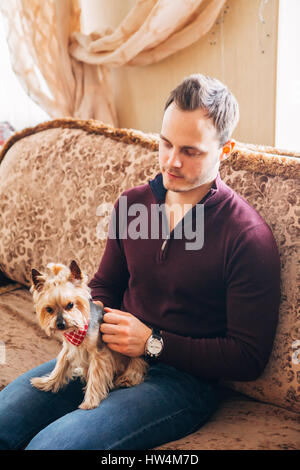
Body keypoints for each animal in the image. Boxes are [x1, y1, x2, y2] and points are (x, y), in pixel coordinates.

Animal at [29, 258, 148, 410]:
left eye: (70, 305)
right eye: (49, 309)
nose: (61, 324)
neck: (76, 330)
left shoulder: (99, 355)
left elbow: (95, 378)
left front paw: (90, 402)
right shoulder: (69, 349)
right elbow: (61, 365)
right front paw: (48, 383)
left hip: (135, 357)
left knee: (137, 366)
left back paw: (126, 379)